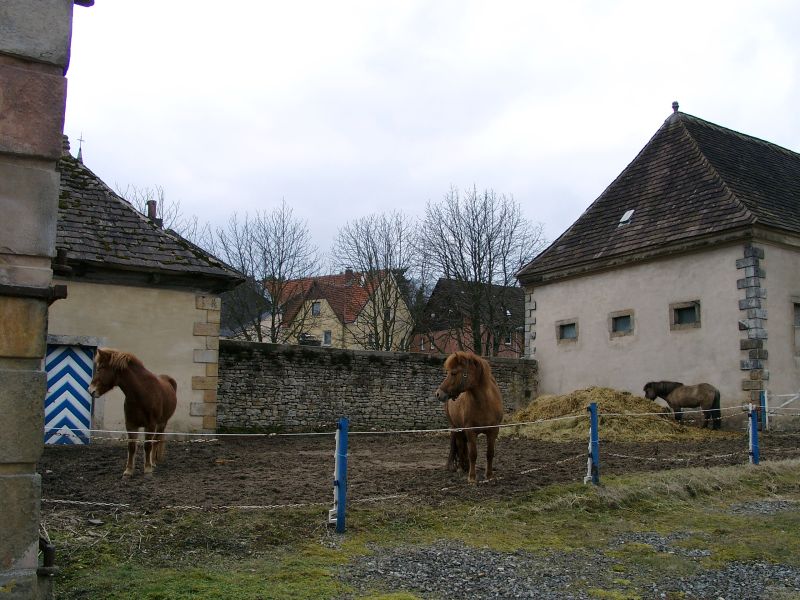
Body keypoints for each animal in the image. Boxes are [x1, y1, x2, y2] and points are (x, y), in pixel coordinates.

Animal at [434, 352, 504, 482]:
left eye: (453, 373)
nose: (438, 394)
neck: (484, 403)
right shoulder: (470, 431)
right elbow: (473, 454)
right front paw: (472, 478)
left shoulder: (493, 431)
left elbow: (490, 453)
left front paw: (489, 475)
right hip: (456, 428)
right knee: (460, 446)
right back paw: (462, 468)